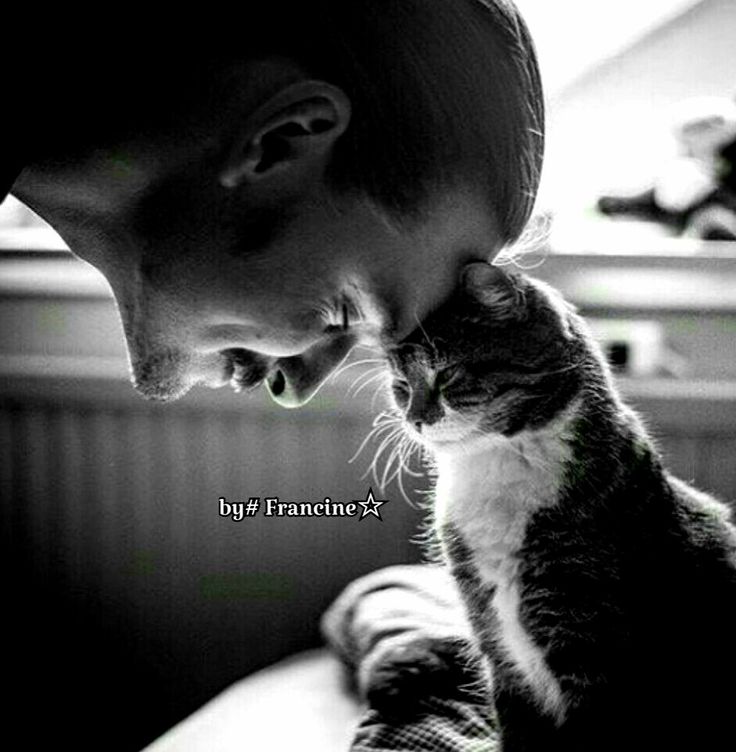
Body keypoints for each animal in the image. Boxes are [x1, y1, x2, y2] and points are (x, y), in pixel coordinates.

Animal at [382, 262, 736, 752]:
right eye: (401, 386)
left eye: (447, 376)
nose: (414, 418)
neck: (495, 463)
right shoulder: (499, 648)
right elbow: (516, 727)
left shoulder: (591, 650)